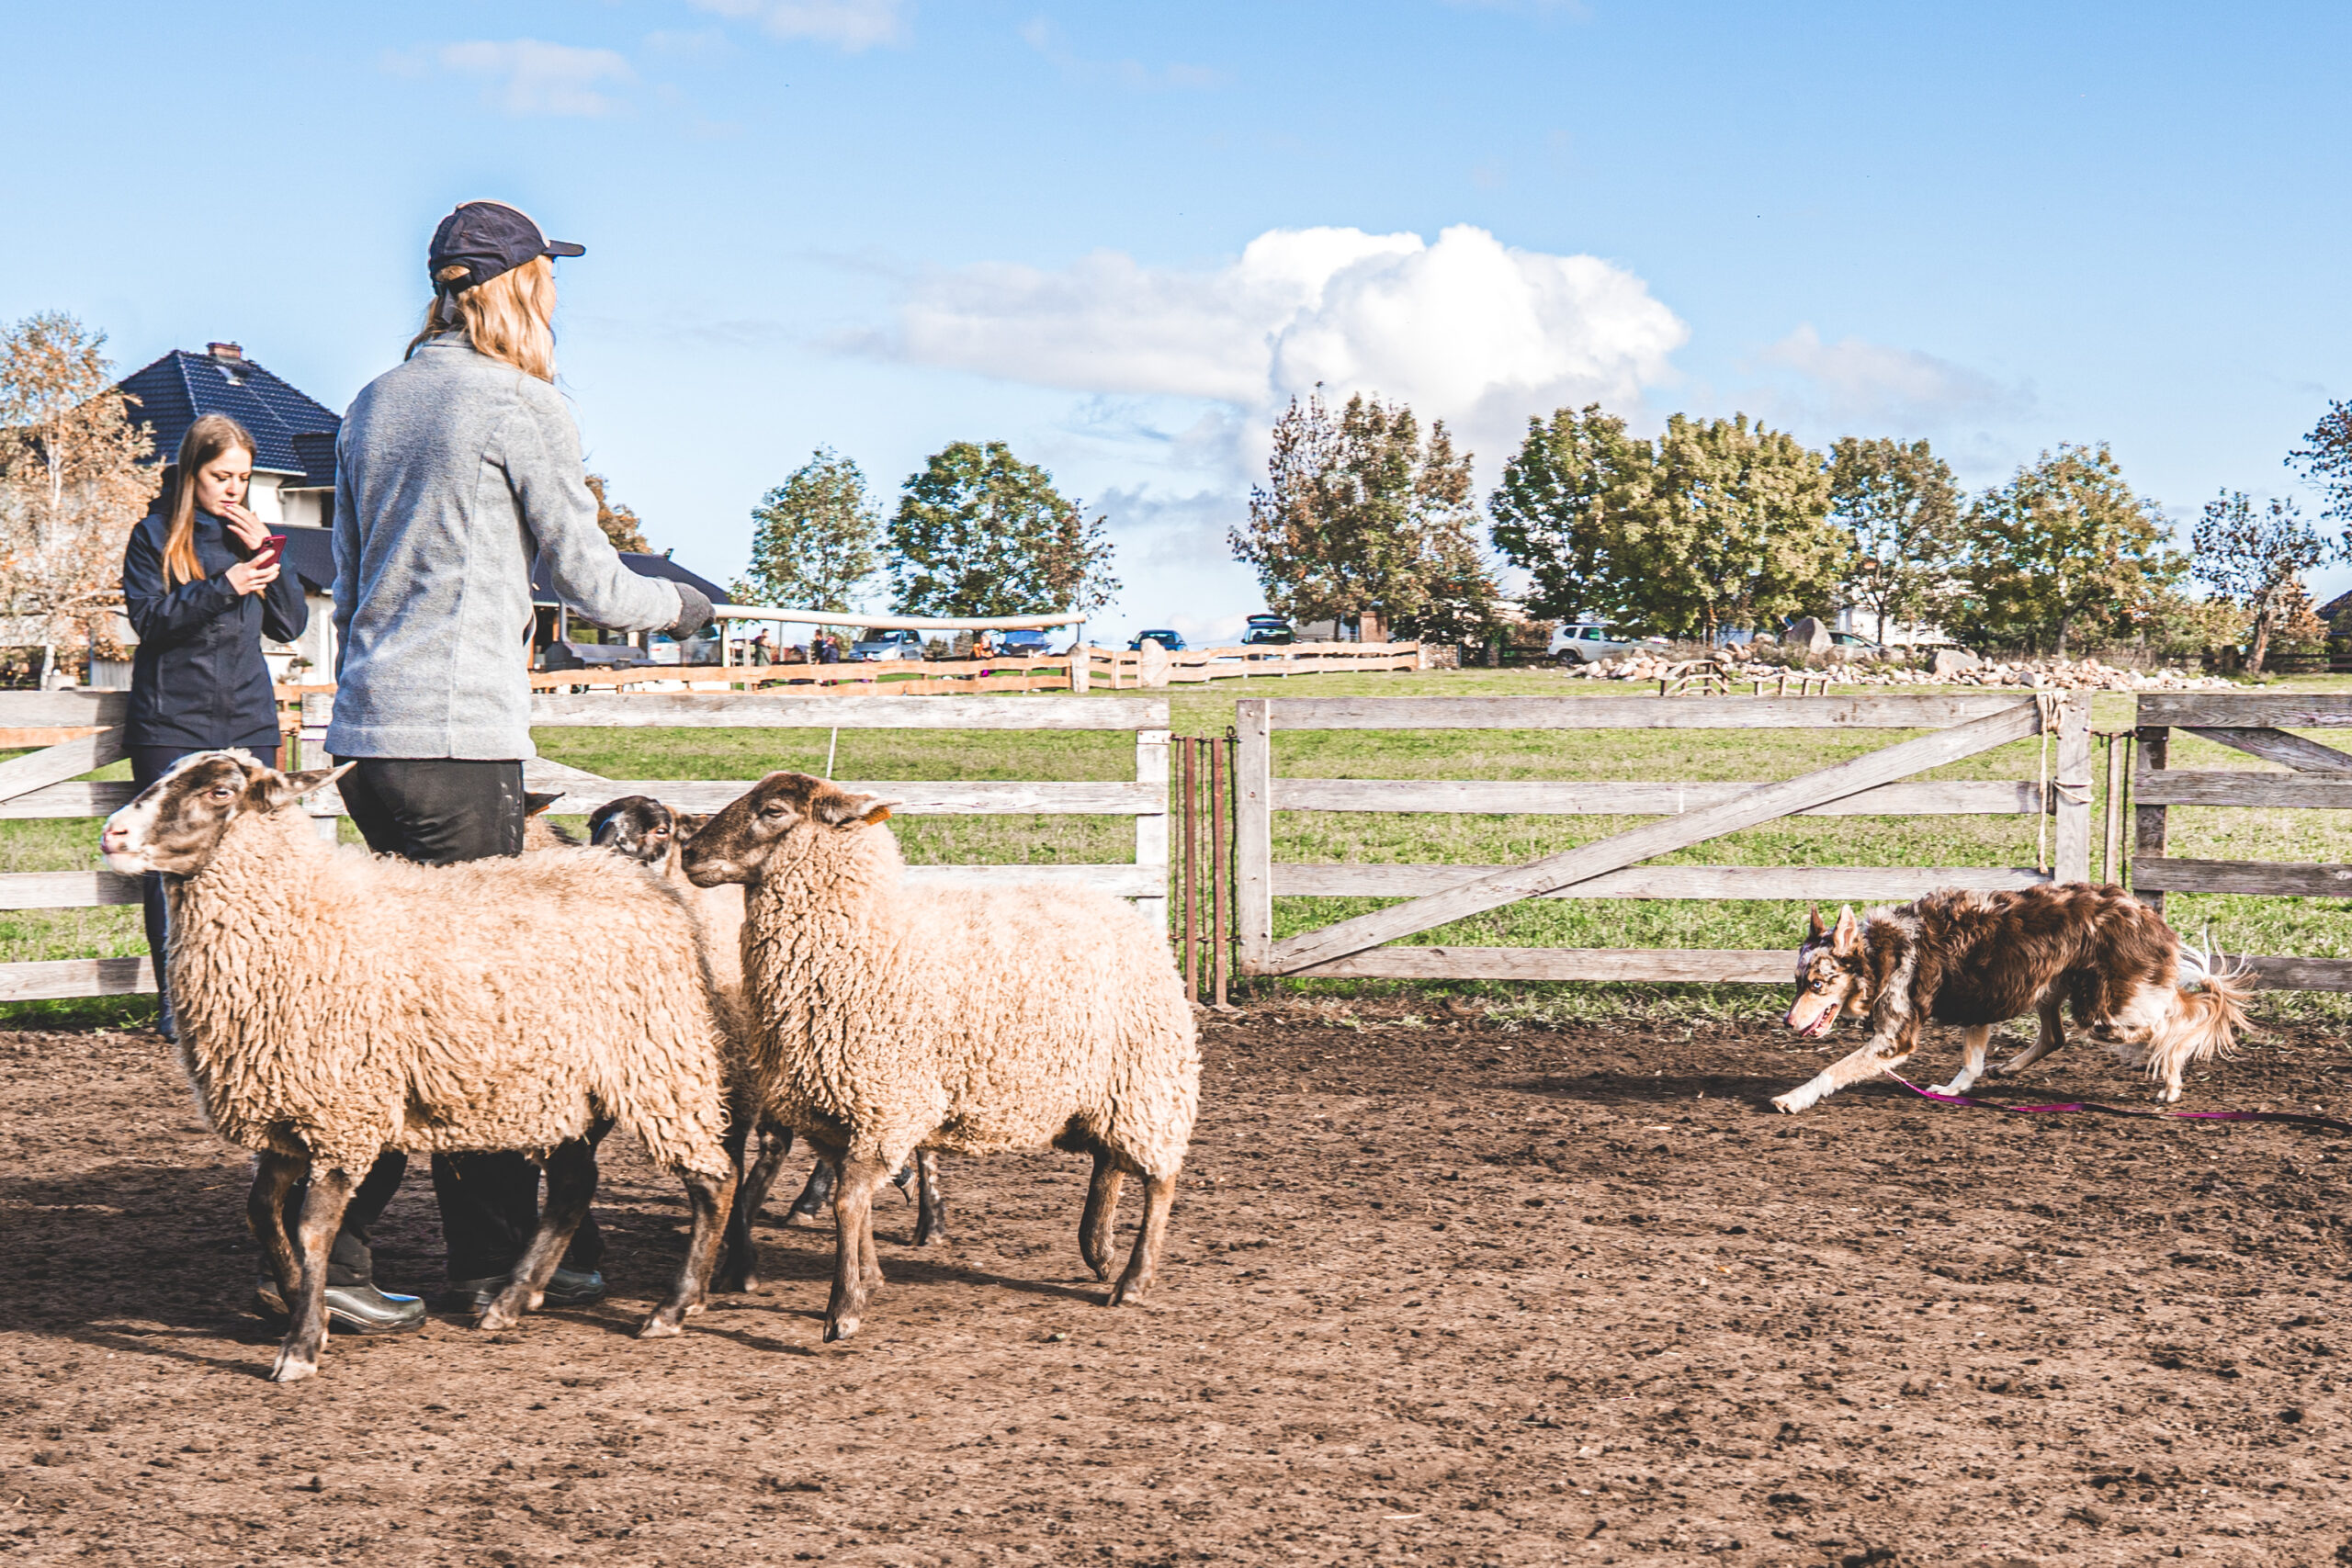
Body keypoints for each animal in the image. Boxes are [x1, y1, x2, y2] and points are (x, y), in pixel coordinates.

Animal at [99, 751, 738, 1382]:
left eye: (221, 793)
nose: (112, 833)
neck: (304, 914)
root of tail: (638, 882)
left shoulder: (344, 1113)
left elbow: (311, 1231)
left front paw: (301, 1345)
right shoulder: (288, 1115)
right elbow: (262, 1214)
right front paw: (303, 1306)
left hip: (658, 1061)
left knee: (713, 1179)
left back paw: (674, 1307)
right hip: (574, 1086)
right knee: (574, 1186)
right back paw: (511, 1300)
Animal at [584, 794, 945, 1292]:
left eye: (661, 829)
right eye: (593, 823)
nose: (600, 862)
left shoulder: (744, 1090)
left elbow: (744, 1167)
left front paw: (738, 1264)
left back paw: (929, 1220)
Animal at [681, 769, 1198, 1342]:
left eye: (773, 811)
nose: (689, 852)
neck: (861, 940)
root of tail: (1126, 911)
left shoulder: (886, 1103)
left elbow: (848, 1203)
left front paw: (845, 1308)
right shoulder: (838, 1115)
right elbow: (856, 1203)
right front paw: (870, 1277)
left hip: (1148, 1078)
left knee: (1159, 1179)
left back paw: (1132, 1278)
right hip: (1102, 1089)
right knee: (1109, 1162)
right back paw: (1099, 1251)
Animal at [1773, 884, 2251, 1114]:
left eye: (1817, 985)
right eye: (1797, 982)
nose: (1788, 1023)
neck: (1881, 955)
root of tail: (2149, 917)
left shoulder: (1897, 1038)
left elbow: (1833, 1070)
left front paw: (1792, 1098)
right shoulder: (1981, 1004)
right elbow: (1972, 1062)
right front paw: (1954, 1090)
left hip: (2100, 1012)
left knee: (2171, 1024)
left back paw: (2169, 1075)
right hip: (2047, 988)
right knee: (2057, 1037)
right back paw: (2011, 1067)